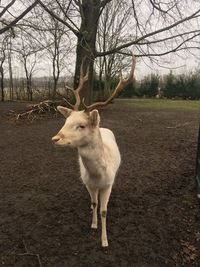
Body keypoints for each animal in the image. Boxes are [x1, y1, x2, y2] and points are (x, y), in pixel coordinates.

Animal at [51, 55, 136, 249]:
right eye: (66, 122)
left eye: (81, 125)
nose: (55, 138)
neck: (98, 175)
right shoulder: (89, 184)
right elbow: (94, 202)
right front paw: (93, 225)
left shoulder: (107, 184)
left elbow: (104, 210)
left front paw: (104, 241)